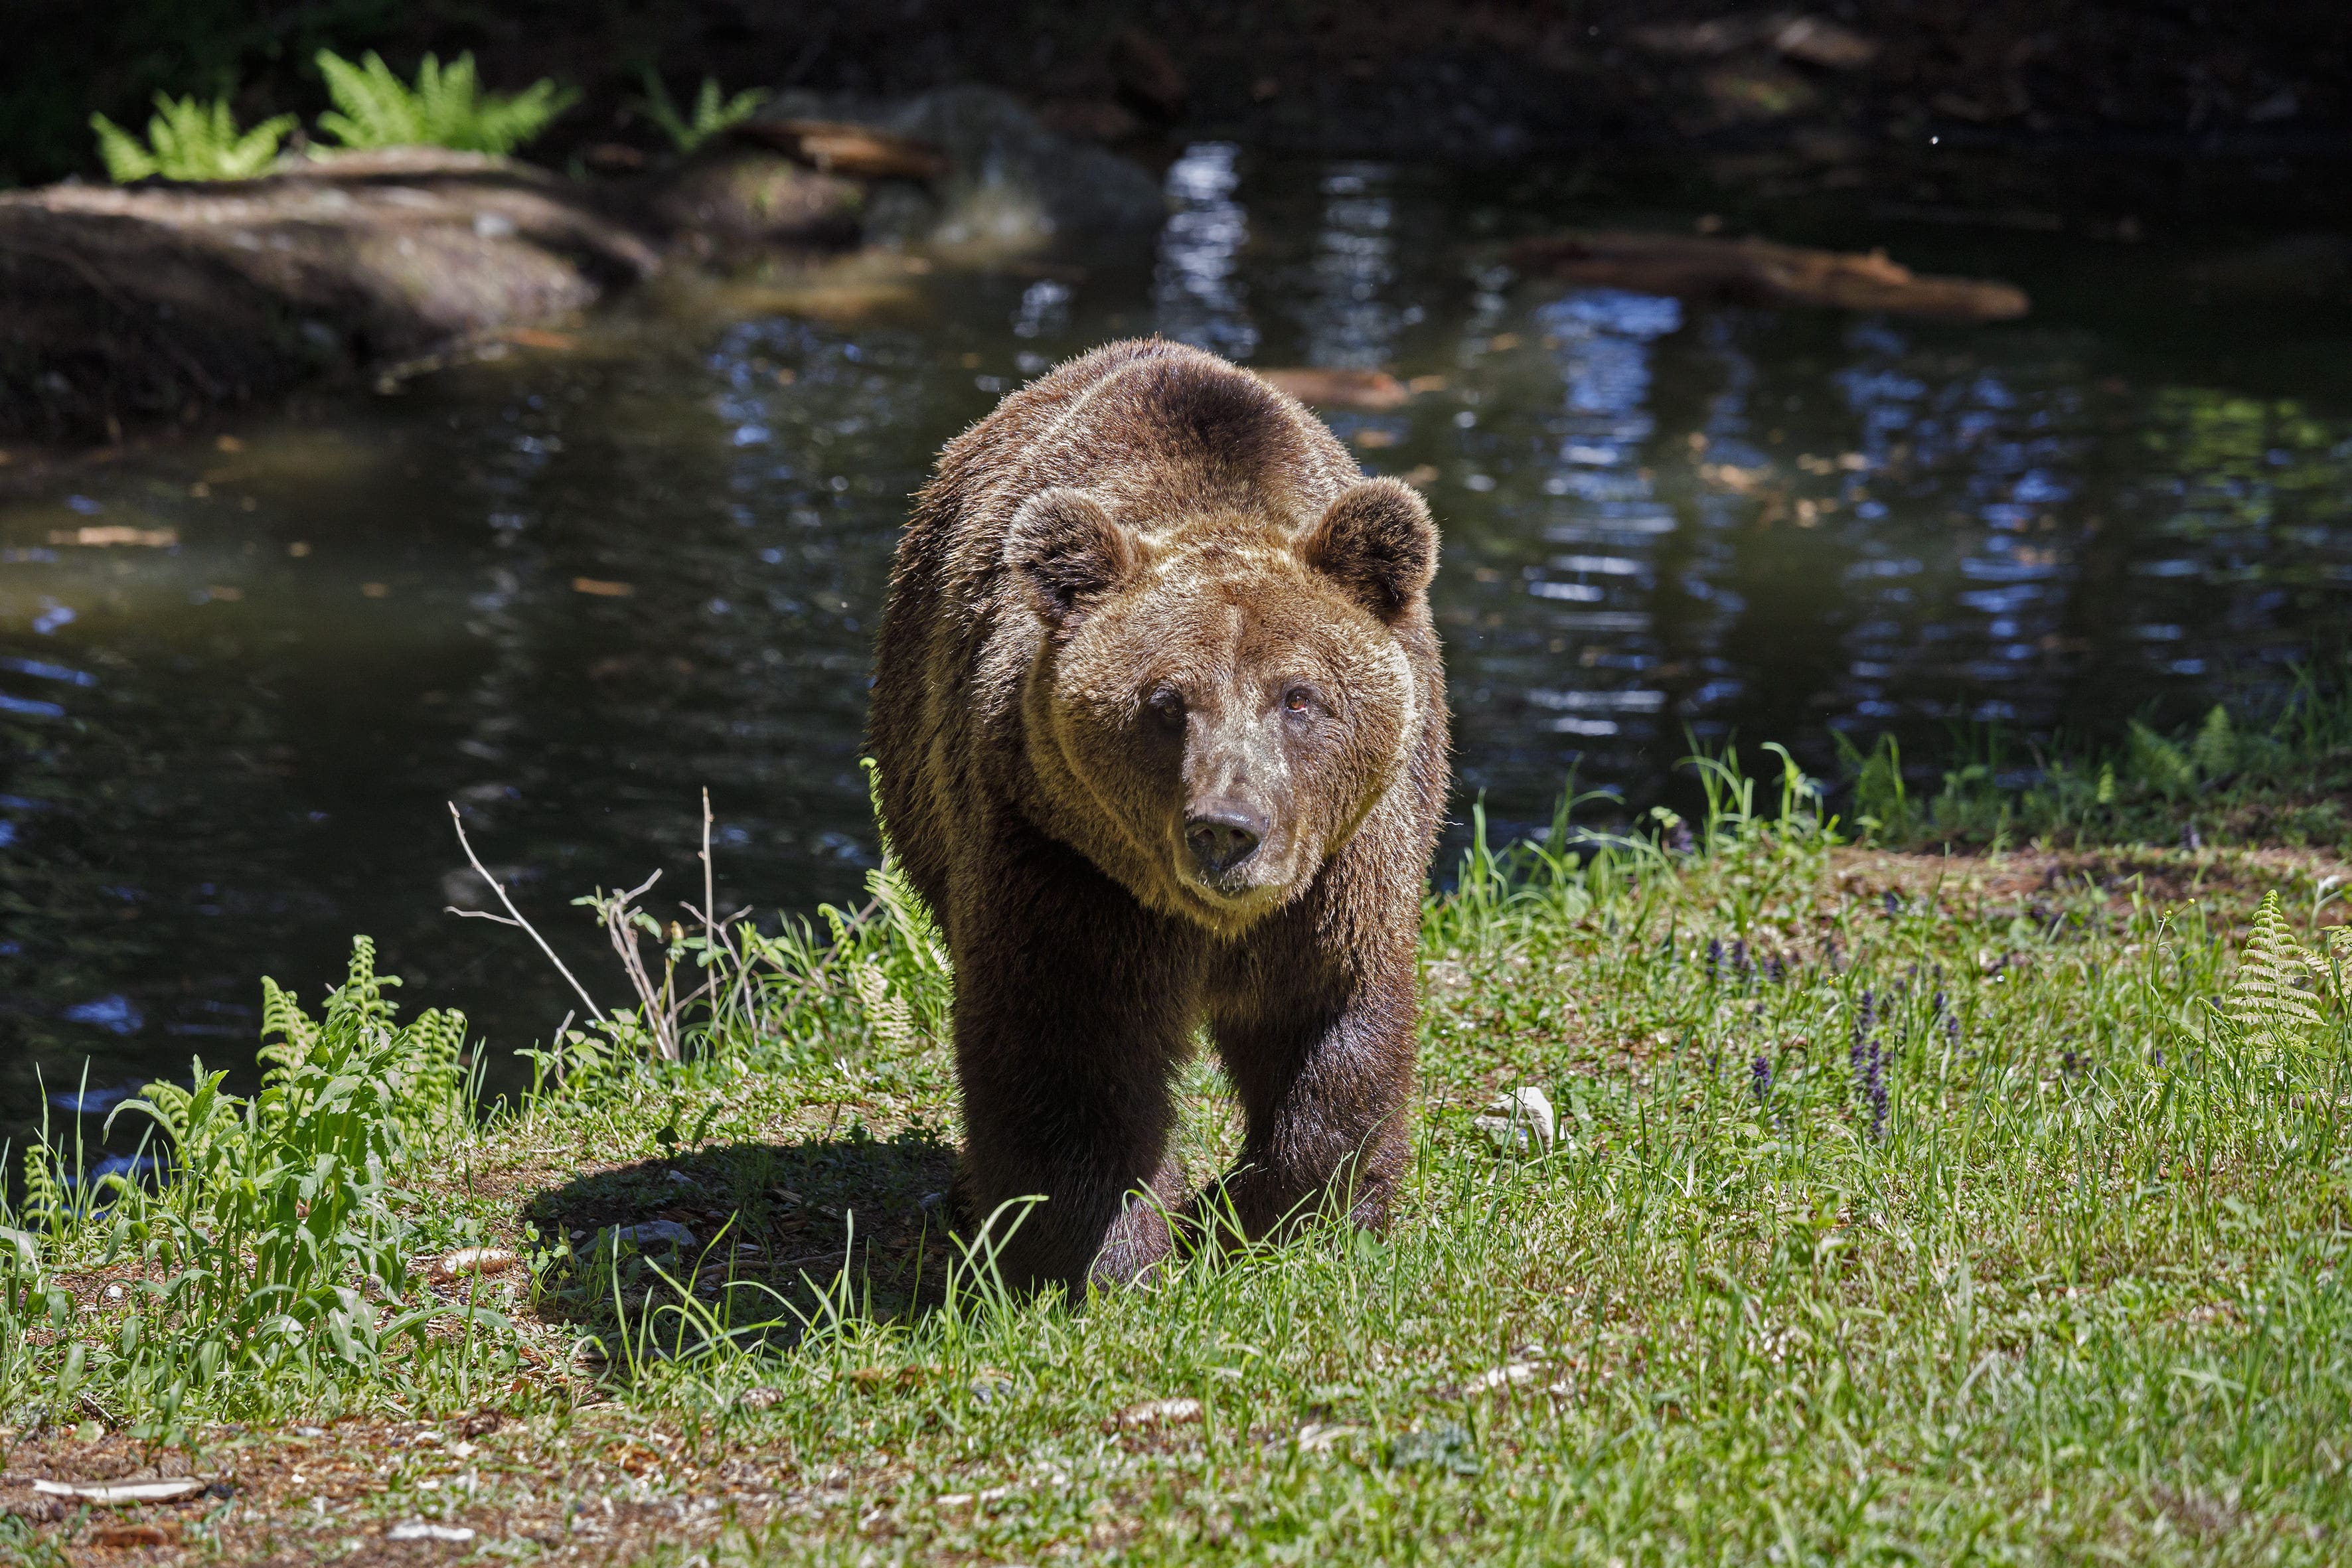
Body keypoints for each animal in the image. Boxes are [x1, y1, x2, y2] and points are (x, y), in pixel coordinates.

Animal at [869, 337, 1449, 1295]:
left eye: (1298, 697)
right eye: (1165, 702)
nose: (1226, 829)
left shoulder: (1343, 864)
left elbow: (1333, 1026)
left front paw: (1291, 1218)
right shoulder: (1060, 855)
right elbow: (1067, 1050)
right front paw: (1103, 1256)